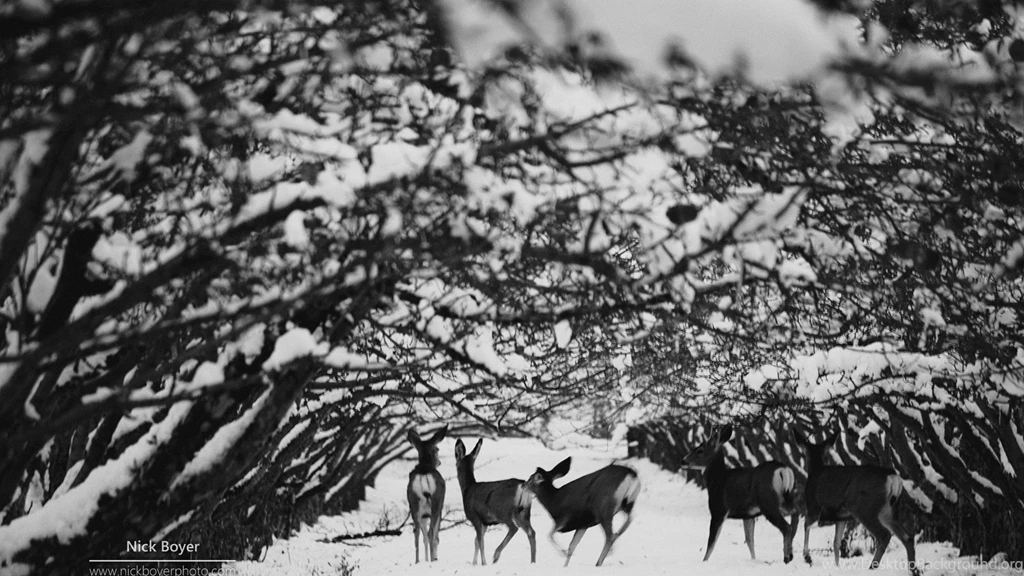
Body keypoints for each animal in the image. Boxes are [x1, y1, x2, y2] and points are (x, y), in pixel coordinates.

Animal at [407, 425, 447, 563]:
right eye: (437, 448)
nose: (439, 462)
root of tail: (423, 475)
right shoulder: (439, 509)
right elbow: (436, 536)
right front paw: (433, 557)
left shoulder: (424, 515)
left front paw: (426, 559)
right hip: (436, 503)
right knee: (431, 533)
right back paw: (433, 560)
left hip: (414, 505)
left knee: (416, 534)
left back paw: (417, 561)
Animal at [684, 424, 800, 563]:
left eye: (700, 450)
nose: (683, 461)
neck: (716, 480)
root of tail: (784, 470)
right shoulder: (748, 514)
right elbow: (750, 540)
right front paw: (754, 560)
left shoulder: (718, 510)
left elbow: (711, 542)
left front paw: (704, 561)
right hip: (786, 498)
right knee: (796, 516)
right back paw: (795, 554)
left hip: (768, 502)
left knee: (787, 527)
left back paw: (787, 557)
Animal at [795, 430, 917, 574]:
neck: (815, 471)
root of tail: (892, 477)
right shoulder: (841, 517)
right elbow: (836, 542)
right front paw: (837, 566)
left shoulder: (813, 506)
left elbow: (806, 525)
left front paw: (807, 557)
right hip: (887, 510)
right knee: (907, 537)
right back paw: (913, 570)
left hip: (863, 508)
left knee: (884, 535)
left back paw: (872, 568)